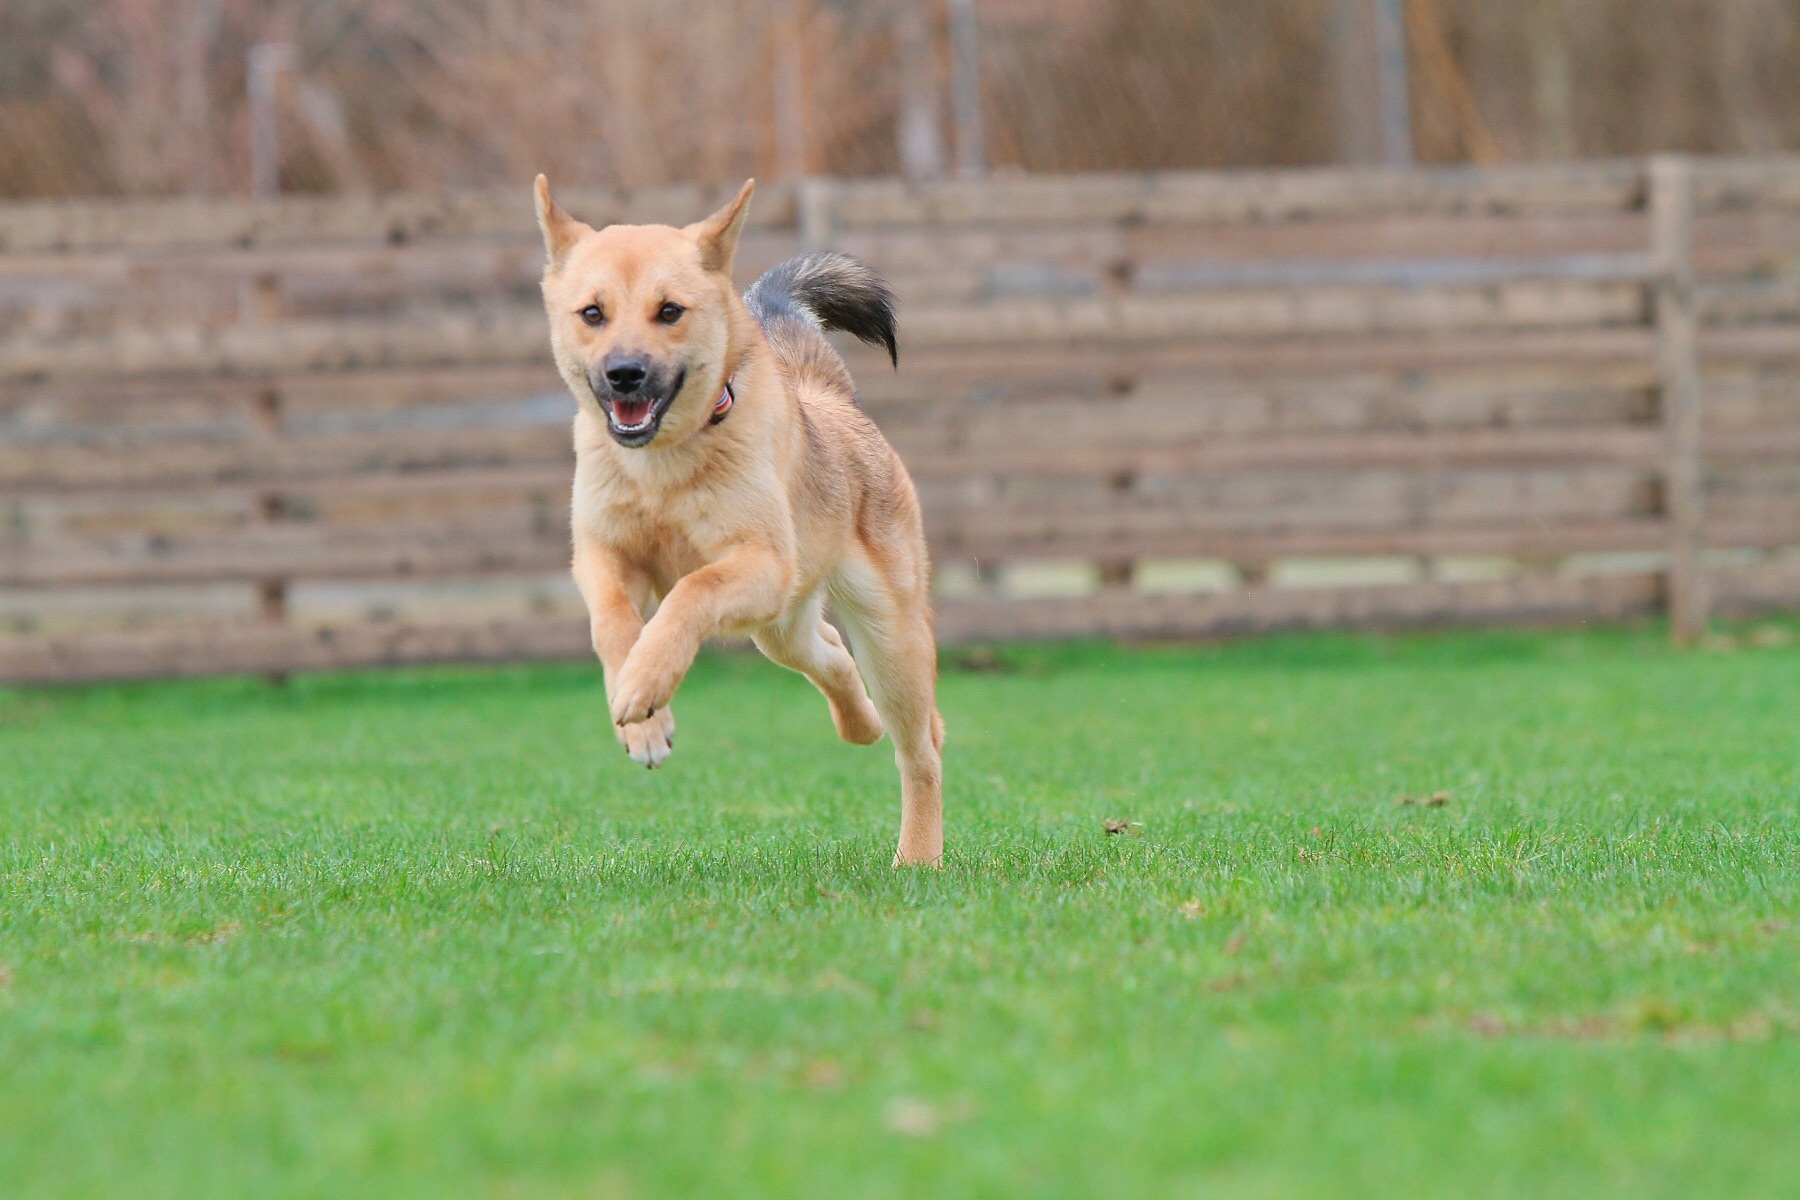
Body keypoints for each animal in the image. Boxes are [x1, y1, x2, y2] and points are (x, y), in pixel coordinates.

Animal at [532, 178, 950, 867]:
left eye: (669, 311)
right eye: (592, 313)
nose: (624, 375)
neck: (663, 468)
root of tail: (829, 397)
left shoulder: (760, 564)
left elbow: (689, 592)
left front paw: (646, 683)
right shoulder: (602, 556)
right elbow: (614, 623)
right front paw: (642, 719)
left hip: (888, 636)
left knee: (921, 749)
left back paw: (917, 856)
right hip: (781, 628)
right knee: (832, 655)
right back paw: (859, 723)